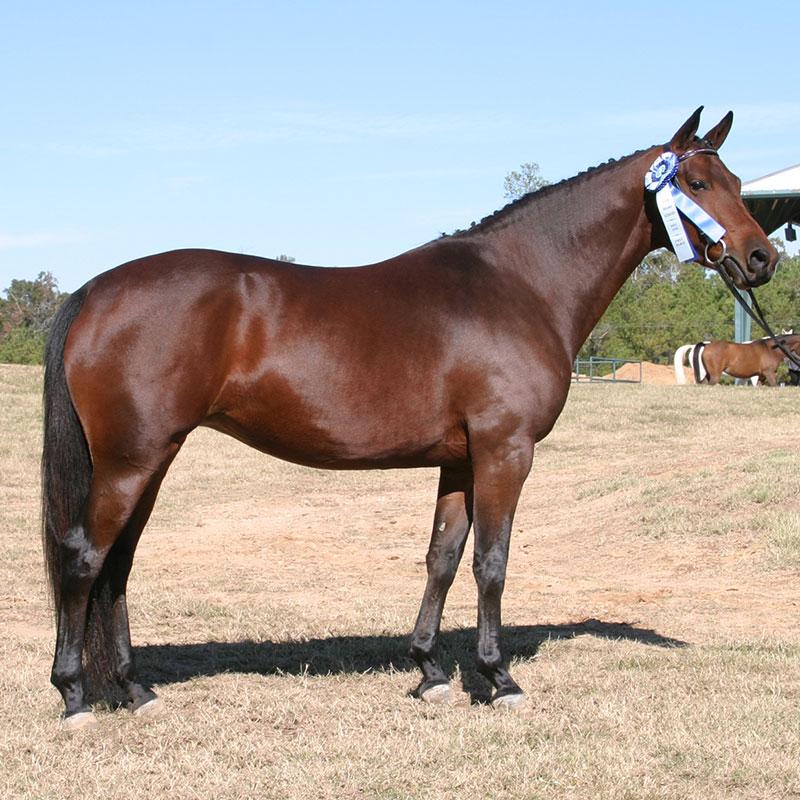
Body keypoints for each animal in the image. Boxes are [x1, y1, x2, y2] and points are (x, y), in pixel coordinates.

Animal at [40, 103, 780, 728]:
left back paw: (134, 689)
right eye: (695, 181)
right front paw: (498, 679)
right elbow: (492, 561)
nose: (762, 257)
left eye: (738, 180)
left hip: (151, 459)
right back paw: (76, 697)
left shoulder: (460, 459)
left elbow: (442, 558)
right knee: (84, 558)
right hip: (132, 461)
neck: (522, 283)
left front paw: (430, 672)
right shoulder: (505, 451)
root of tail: (95, 290)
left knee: (117, 567)